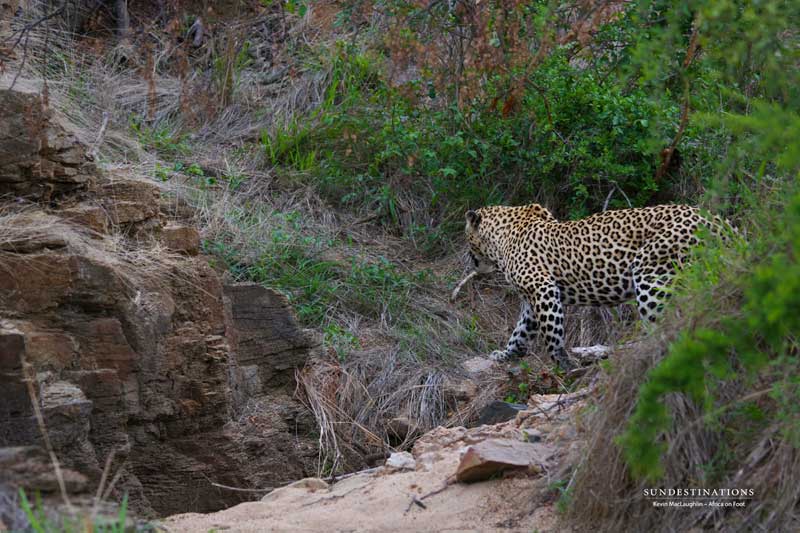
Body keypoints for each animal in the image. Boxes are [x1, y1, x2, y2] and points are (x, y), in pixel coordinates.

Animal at [463, 202, 731, 371]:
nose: (470, 259)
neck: (500, 238)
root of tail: (718, 221)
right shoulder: (532, 300)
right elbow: (519, 332)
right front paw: (505, 355)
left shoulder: (542, 288)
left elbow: (552, 334)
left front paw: (564, 365)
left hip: (650, 274)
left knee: (664, 327)